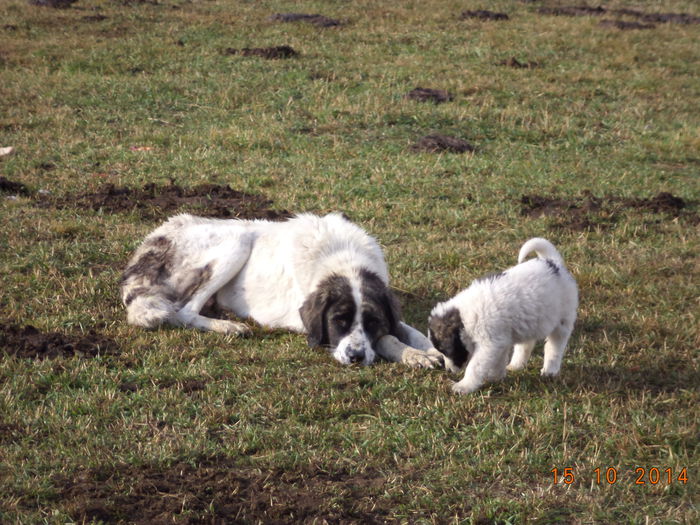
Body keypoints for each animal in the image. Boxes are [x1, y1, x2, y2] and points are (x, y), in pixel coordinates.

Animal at [426, 237, 580, 392]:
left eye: (446, 350)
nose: (448, 371)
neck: (464, 318)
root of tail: (554, 263)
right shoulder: (501, 340)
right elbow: (499, 360)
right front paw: (496, 377)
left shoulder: (489, 344)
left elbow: (475, 366)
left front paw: (464, 386)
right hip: (531, 320)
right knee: (526, 344)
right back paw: (516, 365)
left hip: (563, 320)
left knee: (555, 346)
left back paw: (550, 371)